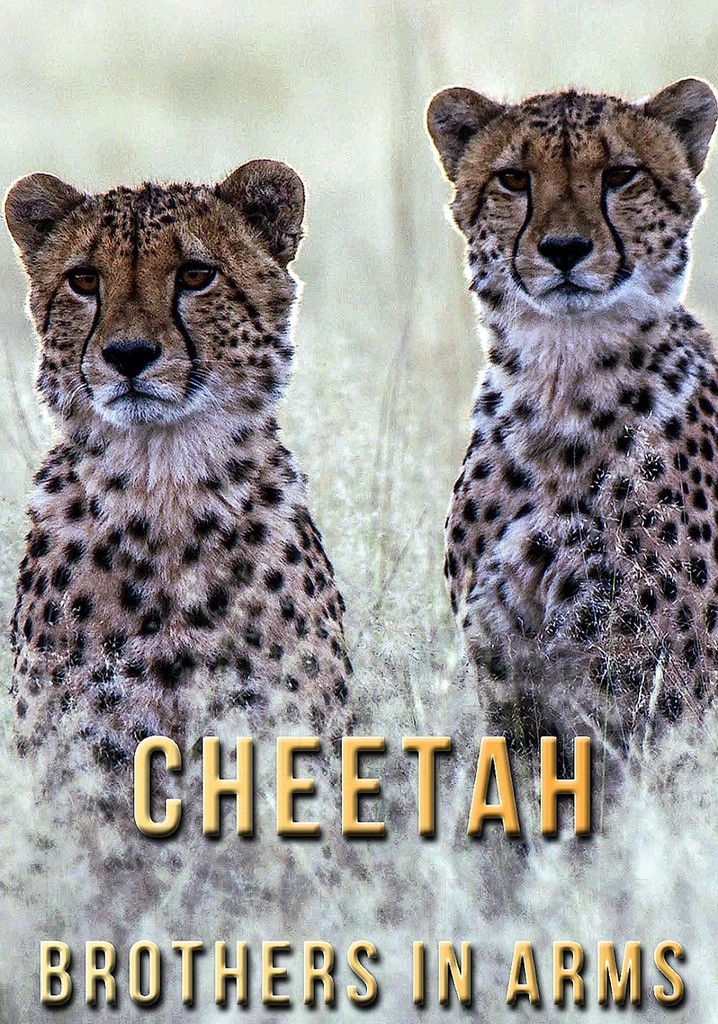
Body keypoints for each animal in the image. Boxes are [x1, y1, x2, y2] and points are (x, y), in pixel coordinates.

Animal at [427, 77, 718, 767]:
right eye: (513, 179)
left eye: (621, 175)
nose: (563, 250)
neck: (562, 379)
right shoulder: (507, 680)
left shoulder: (666, 697)